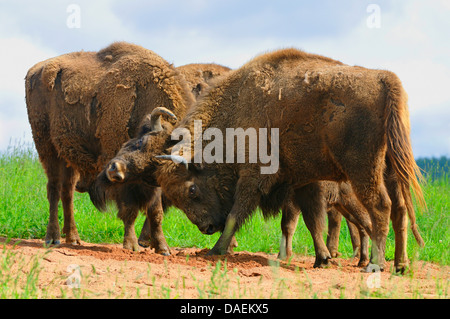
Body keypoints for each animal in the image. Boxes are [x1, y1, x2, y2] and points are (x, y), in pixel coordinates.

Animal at [154, 48, 426, 272]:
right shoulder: (305, 183)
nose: (207, 228)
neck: (236, 110)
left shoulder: (253, 177)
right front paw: (322, 259)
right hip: (391, 170)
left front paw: (216, 250)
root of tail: (385, 79)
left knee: (381, 206)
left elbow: (236, 213)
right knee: (400, 210)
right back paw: (400, 265)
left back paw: (376, 265)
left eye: (191, 189)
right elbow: (312, 221)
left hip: (363, 169)